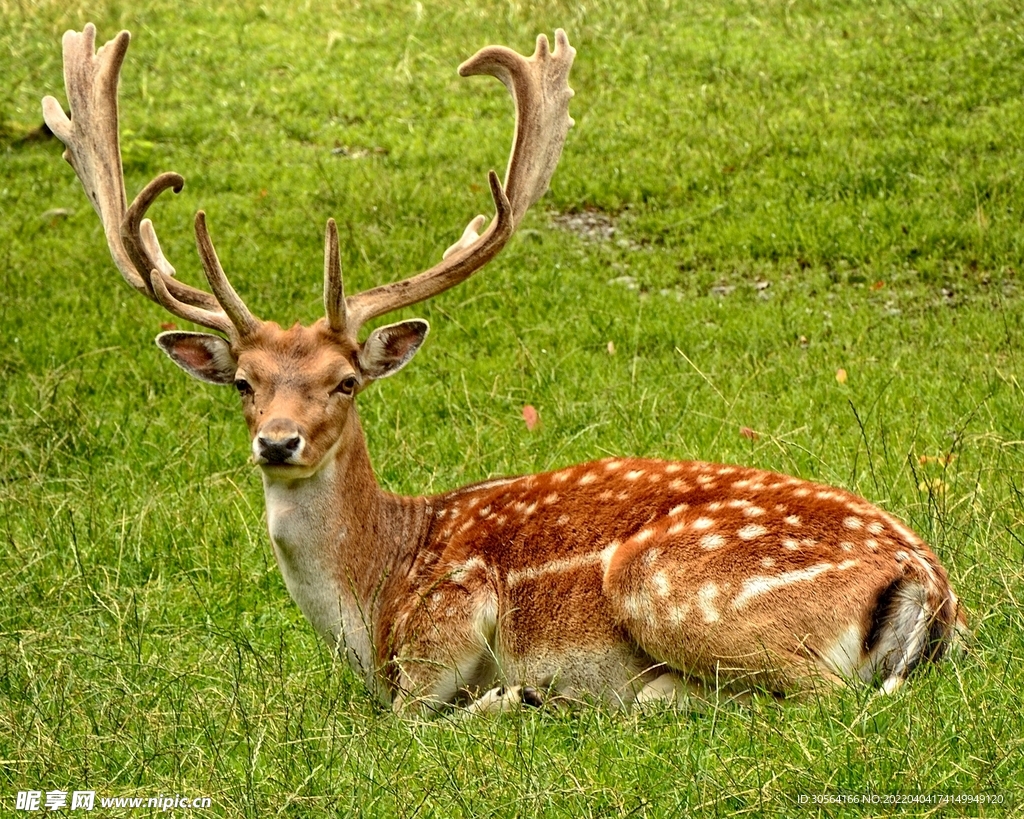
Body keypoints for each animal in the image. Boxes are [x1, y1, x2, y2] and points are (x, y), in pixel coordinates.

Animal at [41, 24, 966, 716]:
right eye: (244, 382)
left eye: (346, 380)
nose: (278, 441)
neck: (372, 596)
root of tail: (930, 583)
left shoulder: (449, 613)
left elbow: (410, 716)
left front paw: (508, 696)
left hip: (669, 583)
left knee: (820, 695)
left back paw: (606, 696)